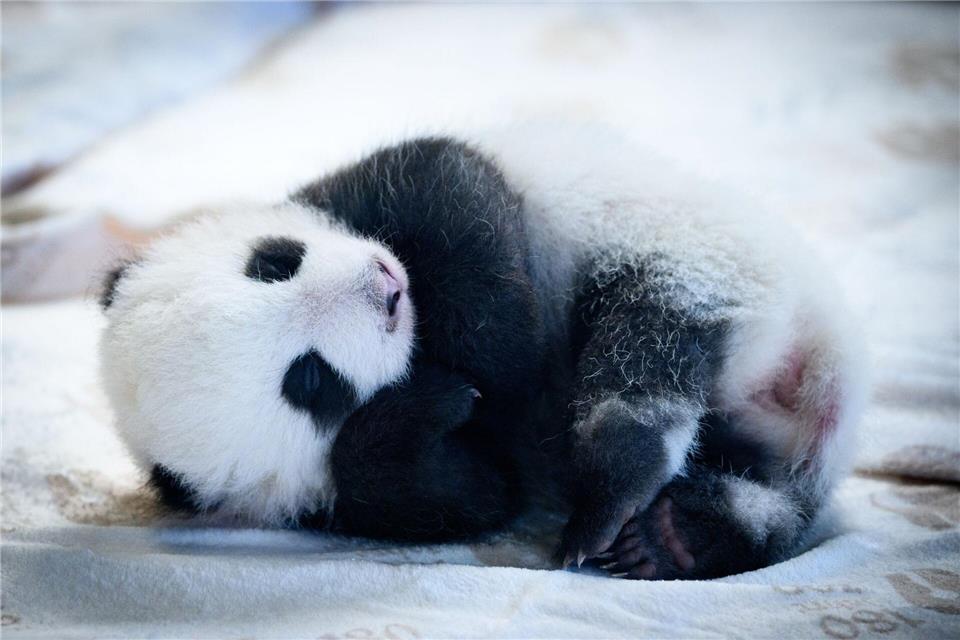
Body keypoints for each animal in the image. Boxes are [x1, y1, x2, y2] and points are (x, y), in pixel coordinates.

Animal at [99, 124, 866, 580]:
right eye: (309, 380)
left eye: (273, 264)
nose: (383, 290)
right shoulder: (345, 503)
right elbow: (473, 489)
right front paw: (426, 409)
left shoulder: (371, 189)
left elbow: (452, 188)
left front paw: (494, 353)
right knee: (691, 415)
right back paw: (669, 529)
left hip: (702, 251)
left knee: (645, 342)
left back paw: (628, 505)